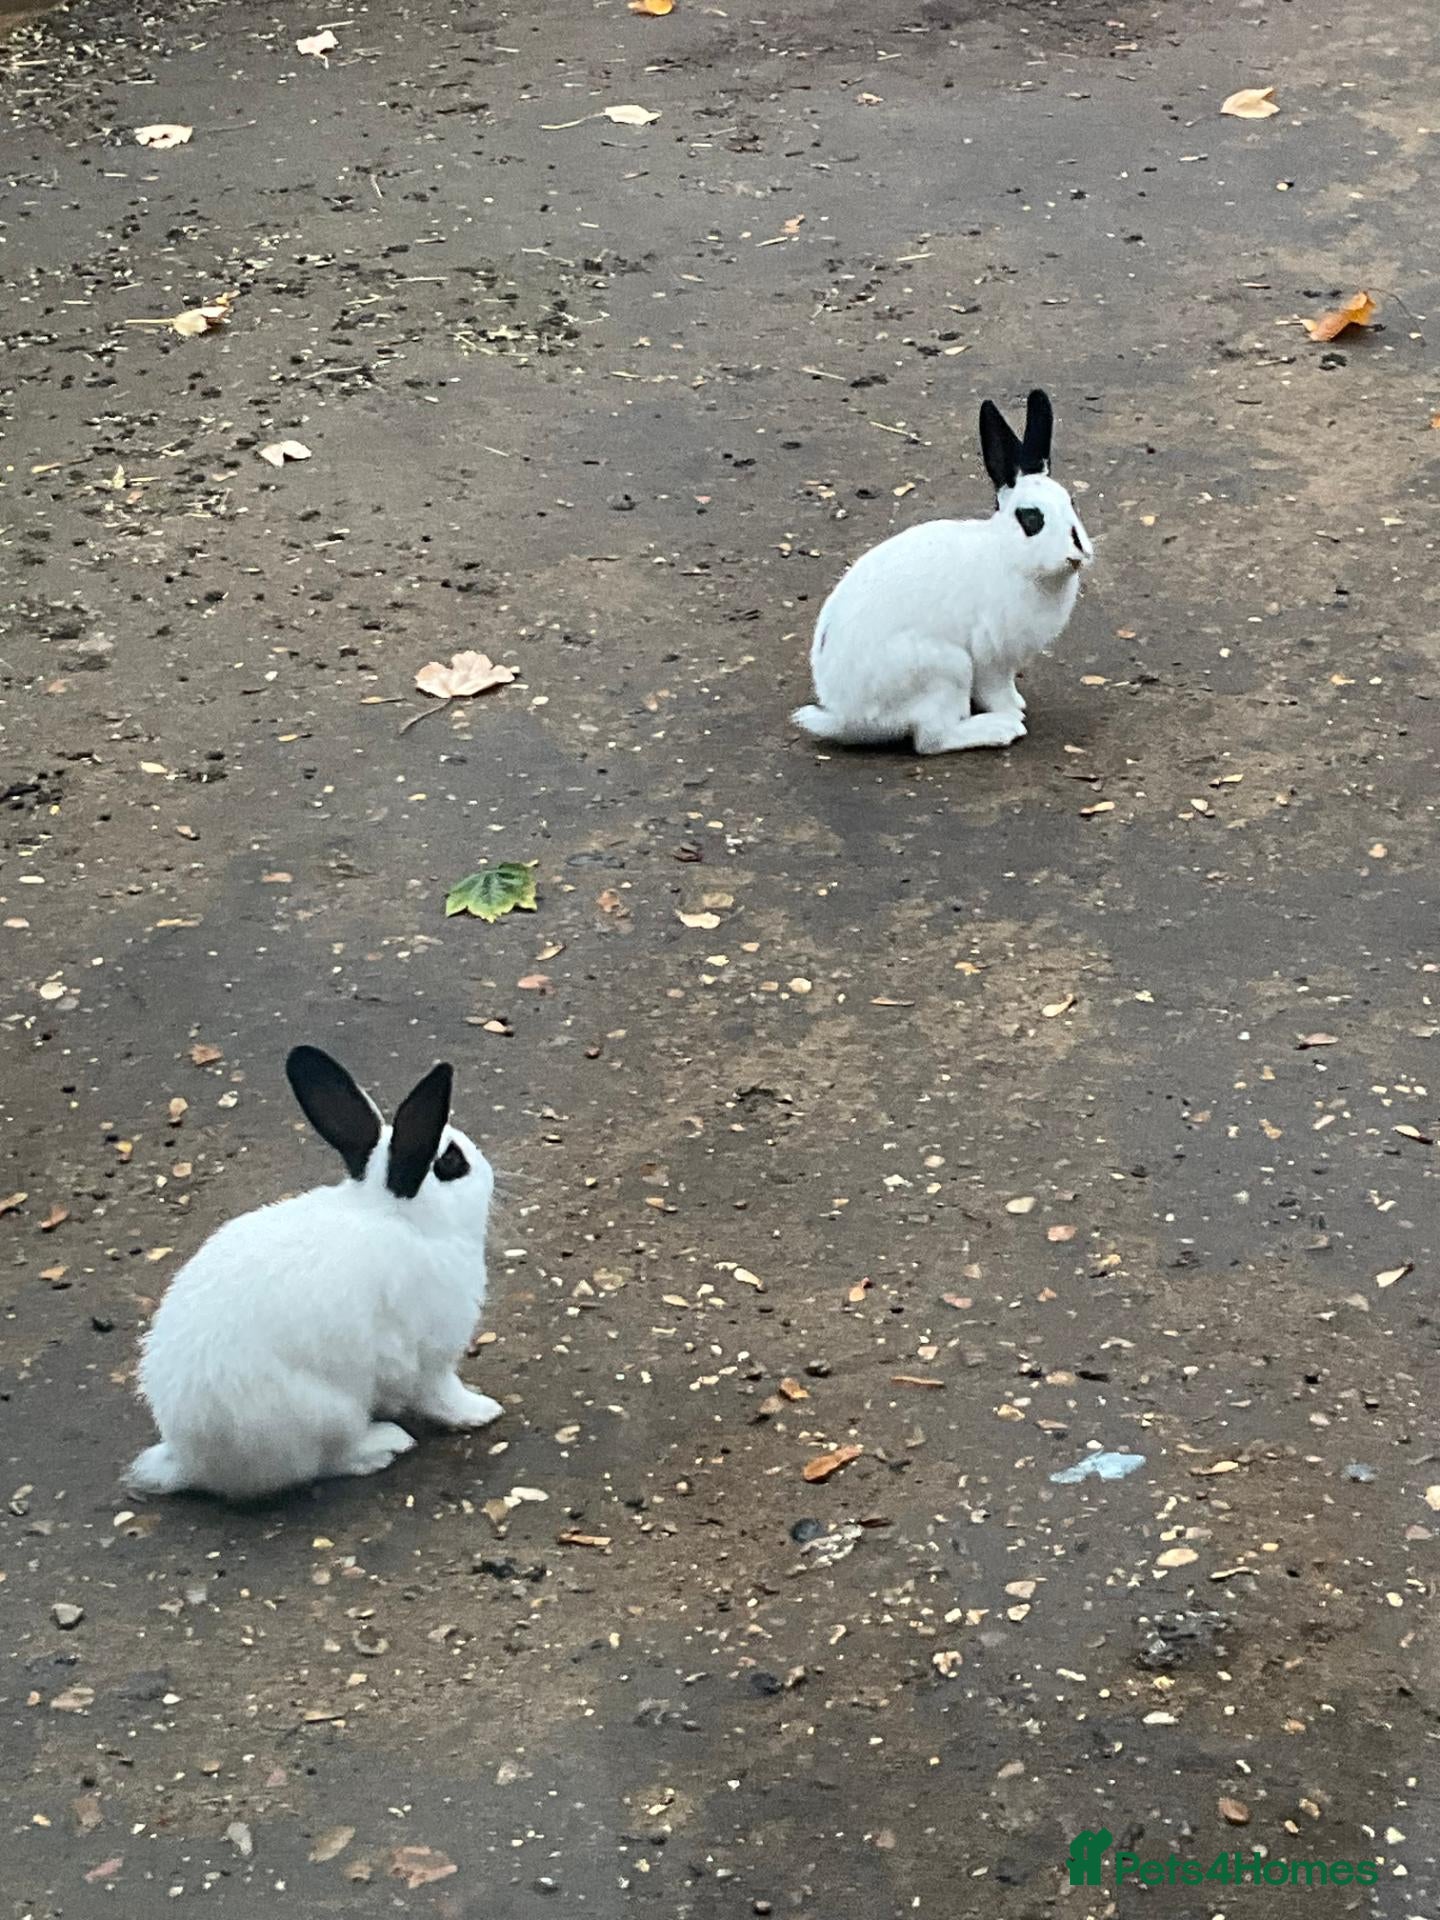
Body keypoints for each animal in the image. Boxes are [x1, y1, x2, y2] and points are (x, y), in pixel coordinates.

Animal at [126, 1046, 501, 1500]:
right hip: (331, 1414)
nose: (491, 1171)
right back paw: (385, 1443)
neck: (399, 1216)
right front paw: (483, 1411)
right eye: (451, 1161)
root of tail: (192, 1462)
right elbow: (442, 1396)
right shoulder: (428, 1357)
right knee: (329, 1460)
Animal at [792, 388, 1093, 754]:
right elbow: (996, 690)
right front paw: (1012, 710)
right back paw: (999, 728)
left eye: (1071, 503)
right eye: (1031, 518)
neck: (1007, 555)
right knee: (931, 739)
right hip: (946, 670)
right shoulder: (990, 656)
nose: (1077, 554)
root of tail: (846, 716)